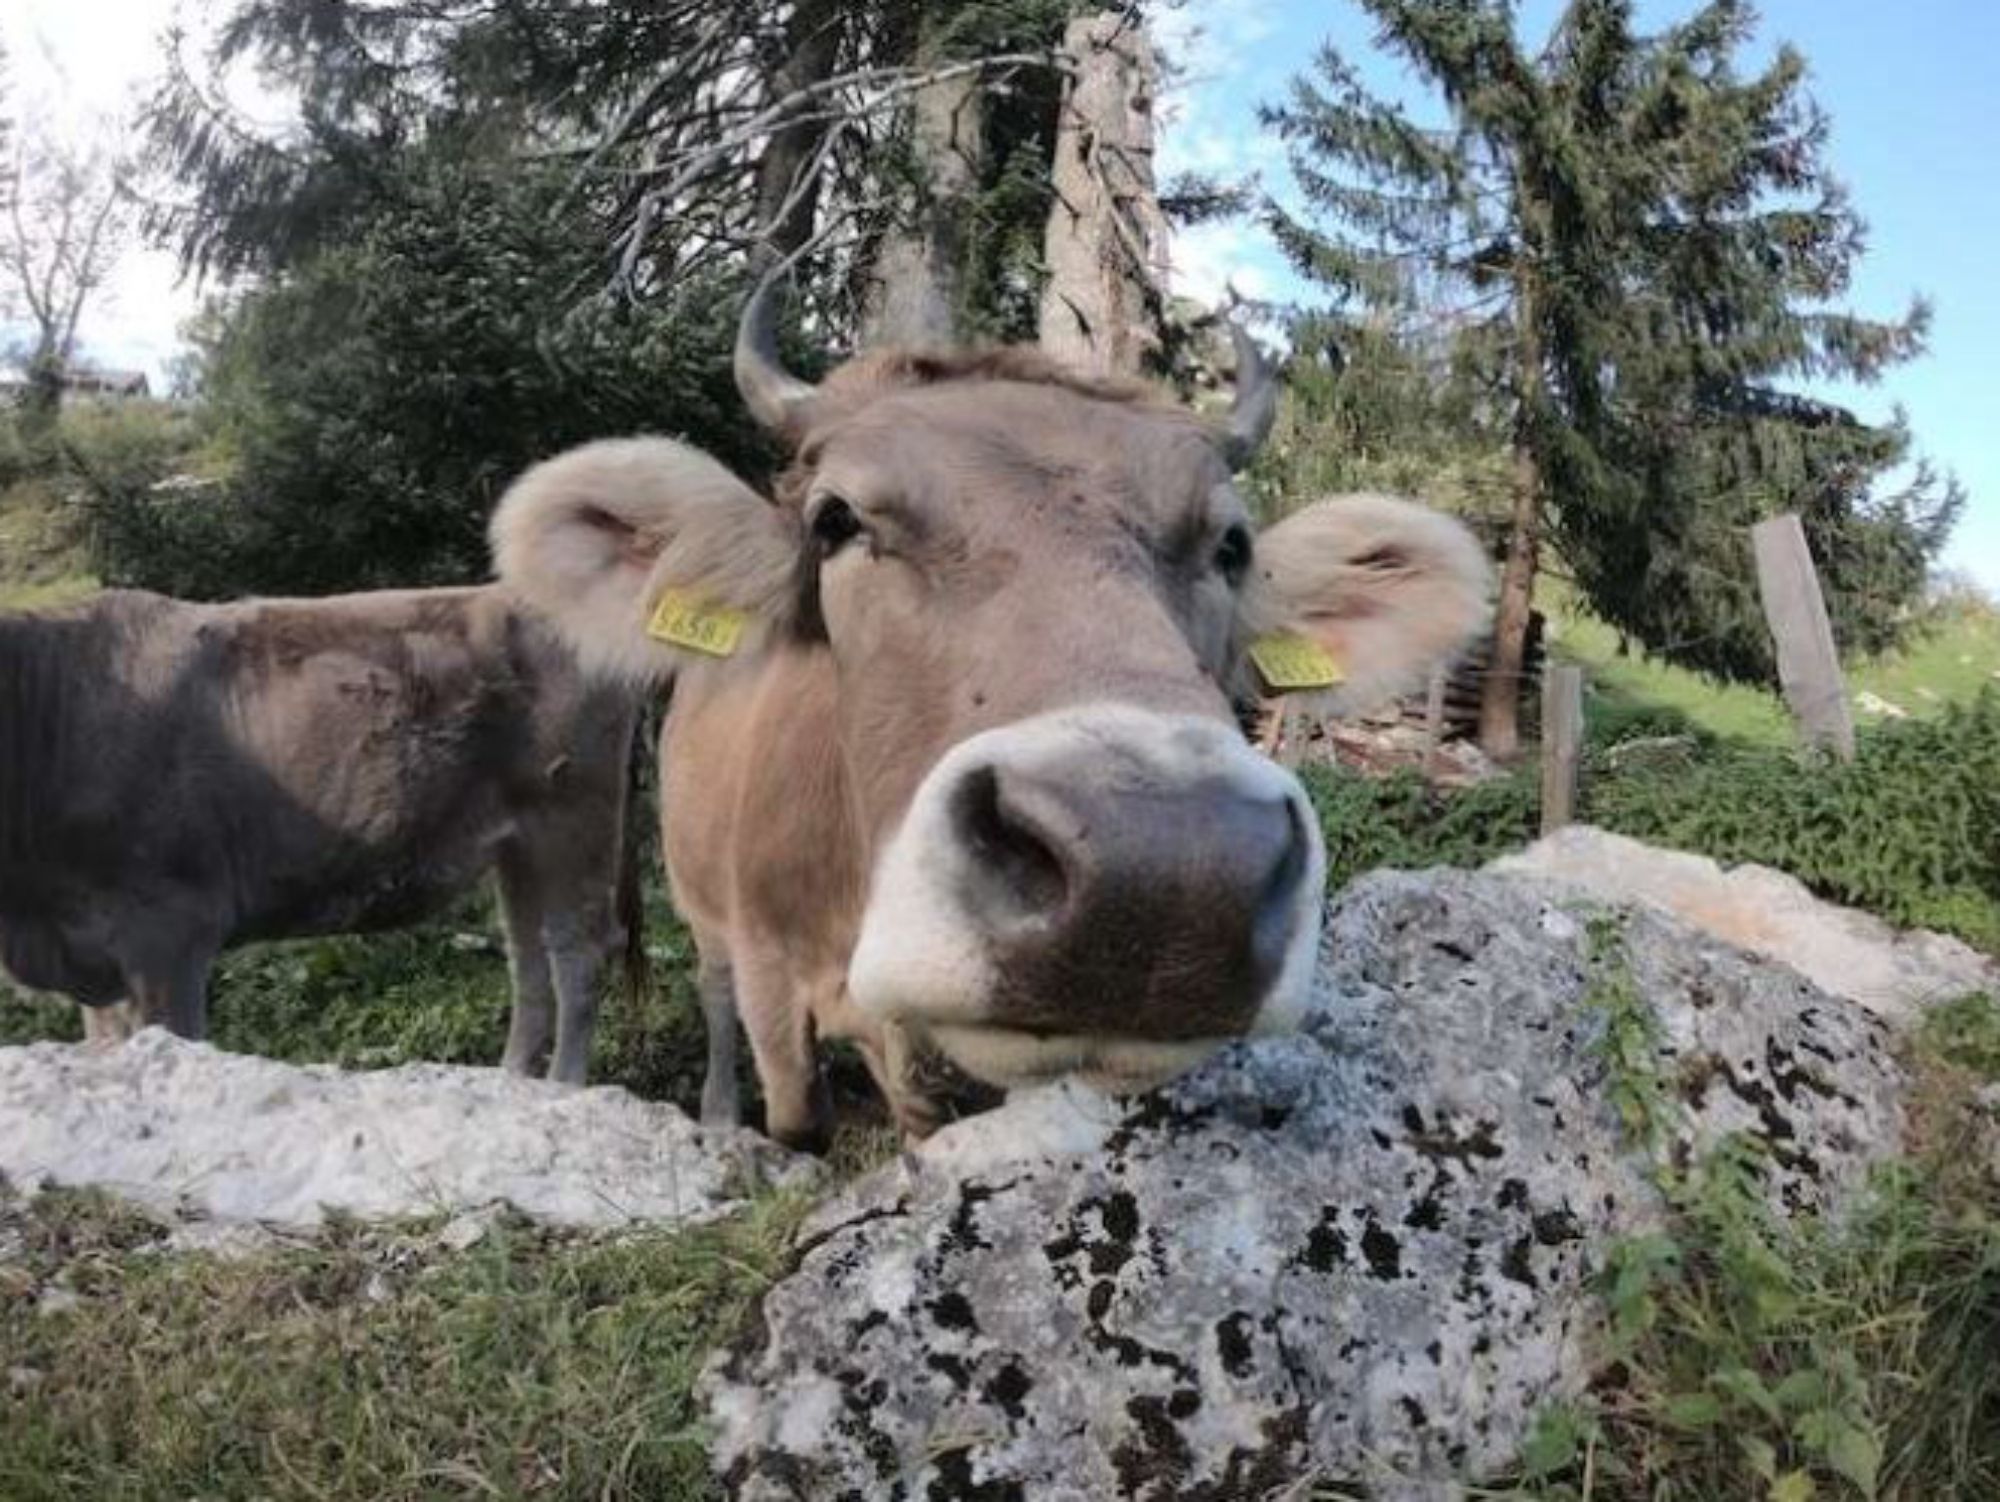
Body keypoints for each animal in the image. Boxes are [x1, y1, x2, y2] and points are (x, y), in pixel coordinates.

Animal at [0, 584, 639, 1084]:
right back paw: (512, 1081)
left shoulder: (169, 930)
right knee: (527, 955)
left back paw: (563, 1086)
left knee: (577, 954)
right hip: (517, 843)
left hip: (571, 818)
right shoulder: (95, 956)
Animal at [491, 286, 1493, 1148]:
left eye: (1232, 546)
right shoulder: (772, 976)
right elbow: (798, 1116)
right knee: (712, 992)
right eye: (835, 521)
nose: (1167, 871)